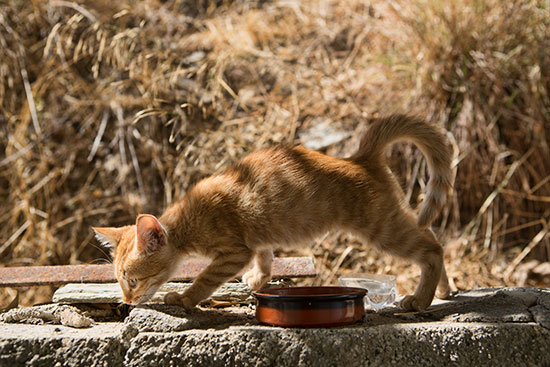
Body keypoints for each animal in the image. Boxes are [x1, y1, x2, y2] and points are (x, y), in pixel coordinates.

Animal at [95, 114, 454, 310]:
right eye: (120, 281)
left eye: (132, 280)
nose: (126, 302)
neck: (188, 220)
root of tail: (358, 158)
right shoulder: (257, 239)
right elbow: (265, 258)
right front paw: (258, 279)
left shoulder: (232, 252)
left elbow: (205, 279)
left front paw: (184, 298)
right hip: (395, 220)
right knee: (431, 235)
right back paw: (444, 290)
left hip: (382, 229)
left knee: (432, 249)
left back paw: (421, 299)